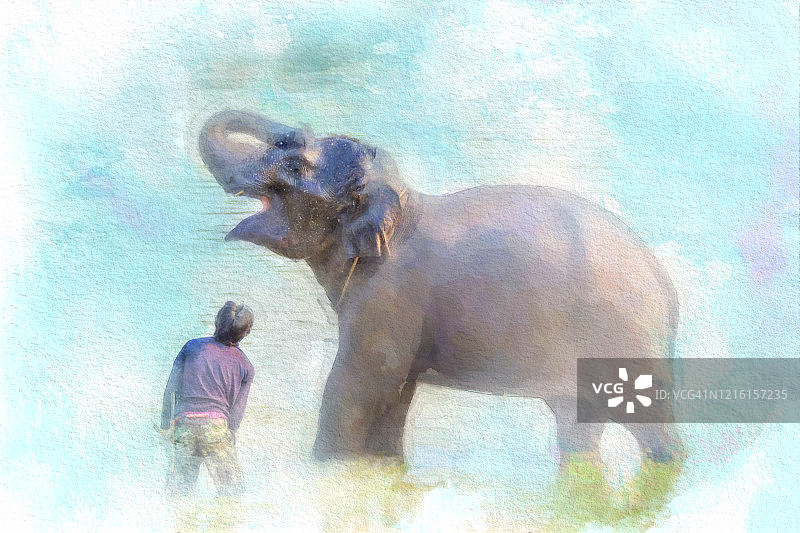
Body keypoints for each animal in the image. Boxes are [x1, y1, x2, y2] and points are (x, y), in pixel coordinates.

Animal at [199, 110, 684, 465]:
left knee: (648, 426)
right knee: (577, 425)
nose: (294, 131)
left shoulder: (389, 293)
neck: (402, 202)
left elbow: (358, 385)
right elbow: (394, 395)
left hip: (626, 339)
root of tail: (667, 287)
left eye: (295, 167)